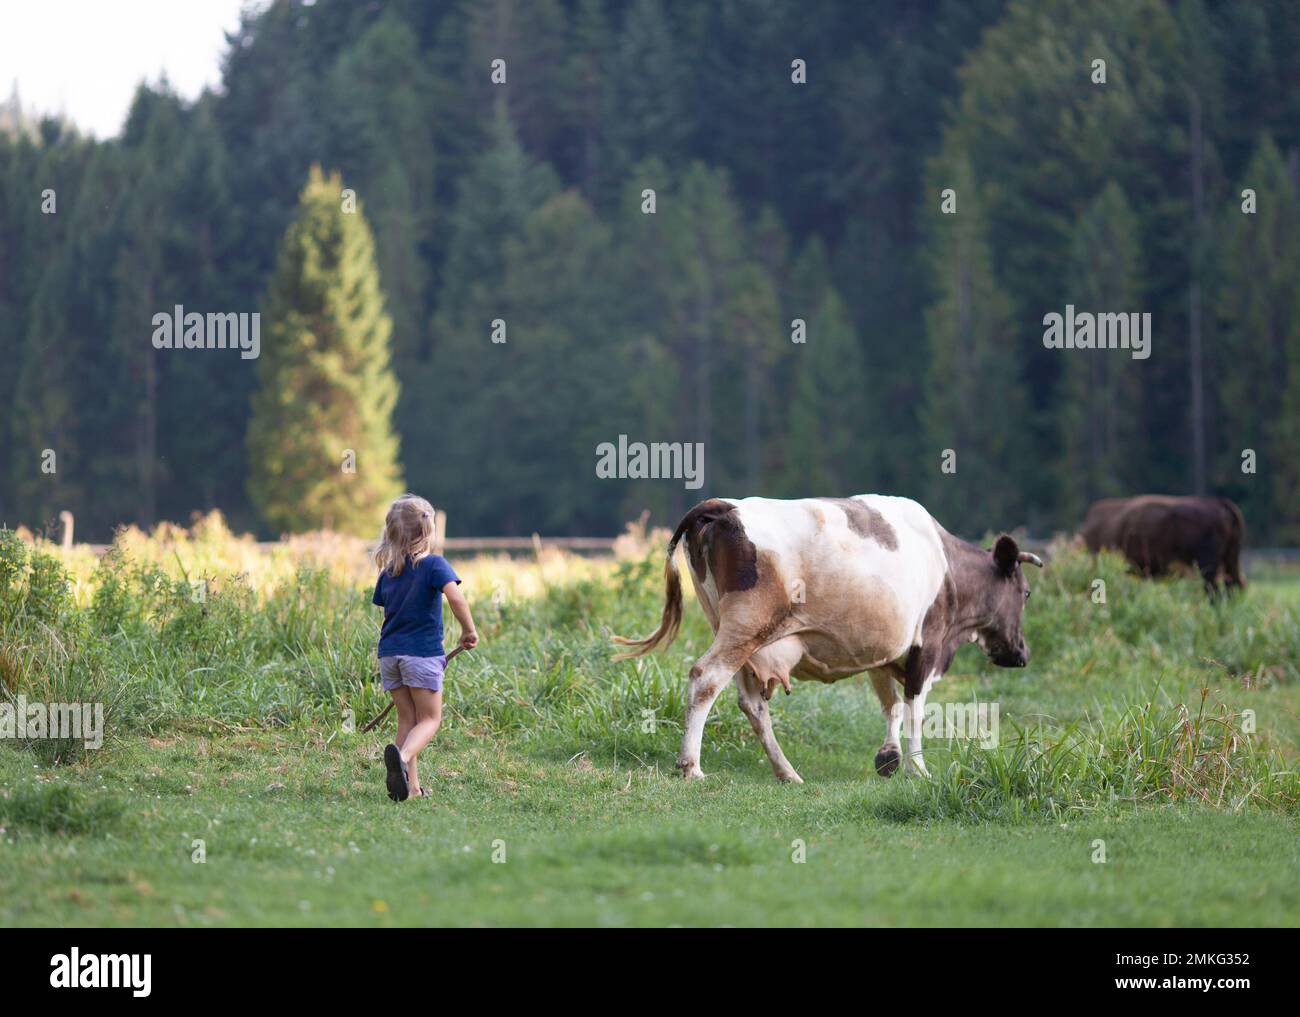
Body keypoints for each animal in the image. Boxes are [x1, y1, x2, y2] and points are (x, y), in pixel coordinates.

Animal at [614, 495, 1042, 783]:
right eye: (1025, 593)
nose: (1022, 653)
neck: (946, 563)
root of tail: (725, 506)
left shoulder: (884, 650)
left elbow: (891, 705)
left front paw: (889, 757)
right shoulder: (928, 644)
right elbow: (915, 708)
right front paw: (918, 768)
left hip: (734, 630)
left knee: (751, 703)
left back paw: (787, 772)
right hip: (746, 625)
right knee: (706, 678)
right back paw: (692, 766)